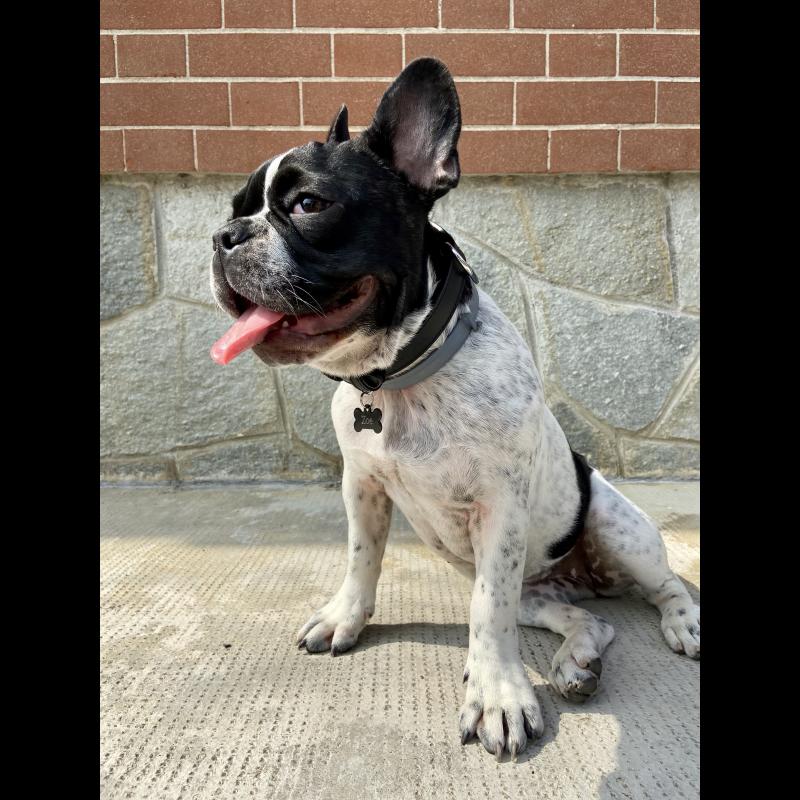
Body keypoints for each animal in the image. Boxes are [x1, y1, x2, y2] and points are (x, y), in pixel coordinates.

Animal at [209, 58, 700, 760]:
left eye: (309, 204)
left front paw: (497, 695)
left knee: (662, 585)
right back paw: (577, 662)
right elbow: (361, 558)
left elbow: (485, 613)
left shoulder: (498, 510)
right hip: (539, 594)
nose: (224, 237)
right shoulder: (363, 487)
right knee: (587, 619)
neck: (399, 376)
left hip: (616, 525)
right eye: (235, 210)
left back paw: (679, 623)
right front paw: (346, 618)